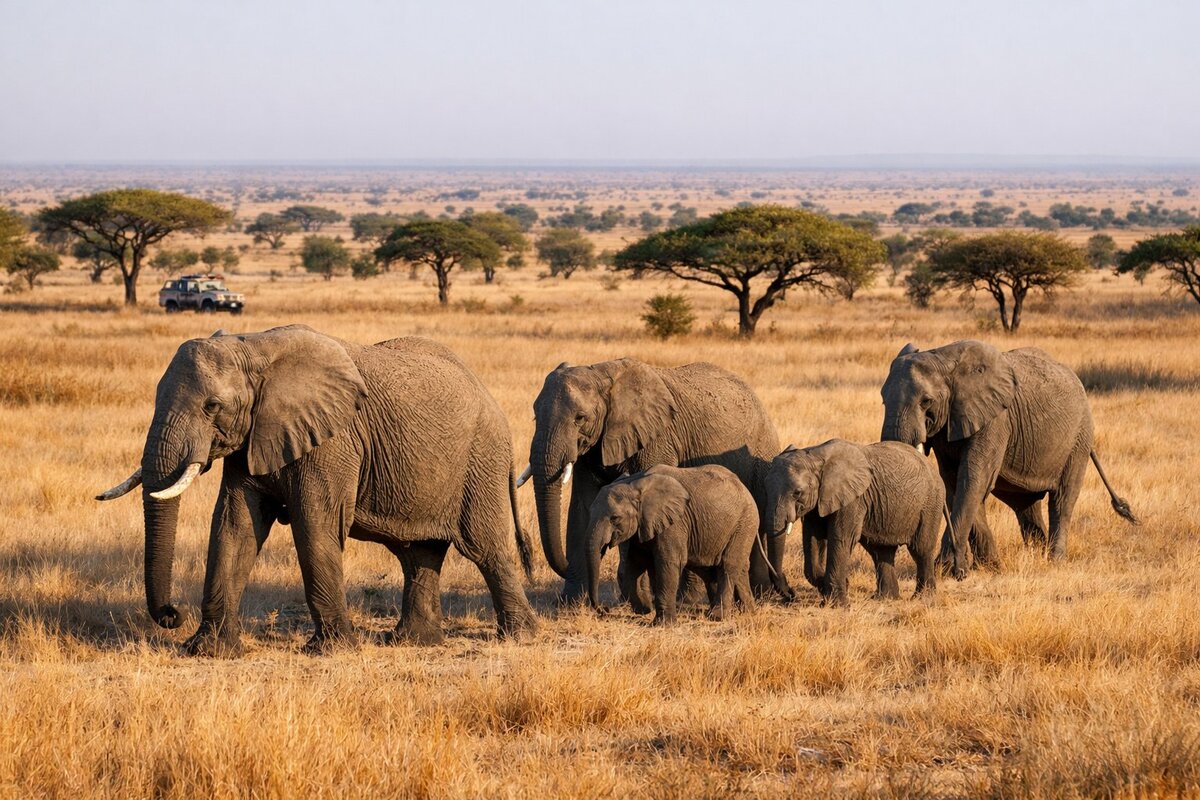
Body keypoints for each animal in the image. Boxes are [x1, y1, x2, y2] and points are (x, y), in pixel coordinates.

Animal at [96, 325, 538, 656]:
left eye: (212, 406)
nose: (172, 615)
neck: (253, 347)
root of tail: (490, 398)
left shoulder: (333, 442)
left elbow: (314, 525)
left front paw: (333, 649)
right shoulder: (254, 436)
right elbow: (235, 527)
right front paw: (207, 650)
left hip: (480, 461)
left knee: (485, 548)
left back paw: (520, 636)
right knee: (418, 554)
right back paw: (412, 642)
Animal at [520, 357, 790, 606]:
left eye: (580, 418)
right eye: (534, 416)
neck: (601, 373)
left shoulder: (657, 438)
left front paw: (638, 599)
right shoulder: (593, 447)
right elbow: (581, 509)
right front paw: (570, 604)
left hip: (762, 451)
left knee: (759, 517)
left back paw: (747, 595)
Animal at [585, 464, 758, 625]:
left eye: (615, 518)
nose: (604, 609)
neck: (634, 484)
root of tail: (745, 488)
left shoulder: (675, 522)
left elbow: (667, 562)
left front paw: (663, 624)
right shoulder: (643, 525)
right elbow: (636, 563)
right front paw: (645, 609)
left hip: (745, 521)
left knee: (728, 565)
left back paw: (717, 616)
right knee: (720, 570)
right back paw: (746, 611)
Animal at [765, 440, 942, 607]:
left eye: (797, 493)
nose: (791, 594)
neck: (815, 457)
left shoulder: (853, 499)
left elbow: (841, 538)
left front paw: (836, 604)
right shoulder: (817, 502)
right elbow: (812, 540)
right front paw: (832, 589)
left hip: (930, 504)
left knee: (921, 549)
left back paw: (923, 598)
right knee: (881, 552)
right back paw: (886, 598)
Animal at [880, 340, 1138, 579]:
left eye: (926, 401)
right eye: (883, 400)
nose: (961, 571)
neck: (943, 358)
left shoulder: (995, 418)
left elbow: (974, 479)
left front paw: (945, 570)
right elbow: (956, 483)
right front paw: (988, 567)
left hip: (1079, 436)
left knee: (1063, 498)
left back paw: (1054, 560)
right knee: (1024, 504)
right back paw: (1035, 554)